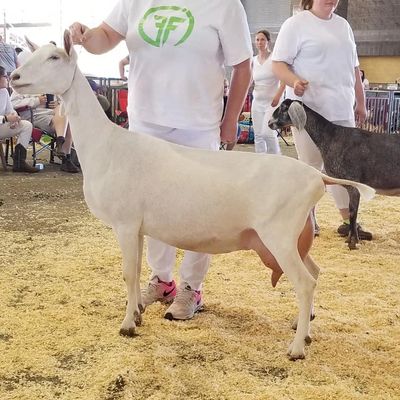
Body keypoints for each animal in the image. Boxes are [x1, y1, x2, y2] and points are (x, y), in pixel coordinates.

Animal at [9, 31, 374, 360]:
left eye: (54, 57)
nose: (14, 77)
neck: (107, 144)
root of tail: (317, 177)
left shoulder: (124, 223)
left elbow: (127, 273)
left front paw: (127, 325)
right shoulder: (137, 227)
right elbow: (137, 270)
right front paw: (138, 311)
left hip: (280, 236)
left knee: (304, 283)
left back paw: (297, 348)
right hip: (298, 237)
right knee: (315, 273)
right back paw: (306, 330)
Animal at [269, 99, 400, 250]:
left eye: (283, 108)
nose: (269, 123)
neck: (332, 136)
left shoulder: (353, 184)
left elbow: (352, 213)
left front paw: (353, 243)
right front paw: (350, 240)